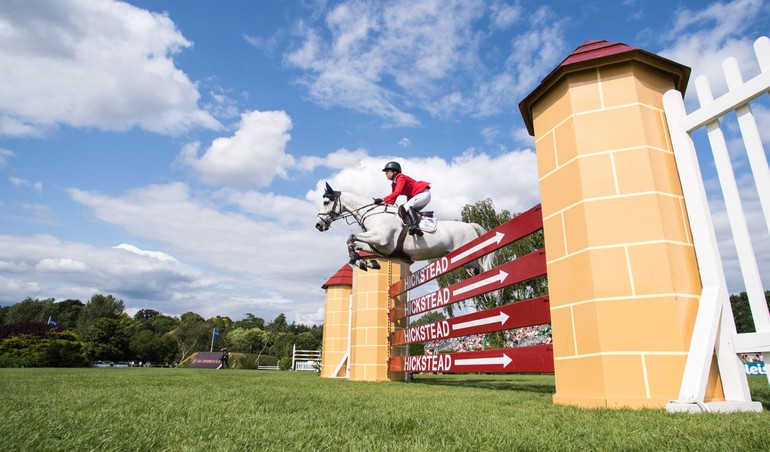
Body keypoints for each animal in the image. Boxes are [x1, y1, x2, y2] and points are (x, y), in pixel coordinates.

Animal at [314, 181, 488, 272]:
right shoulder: (381, 247)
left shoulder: (380, 237)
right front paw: (365, 262)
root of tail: (470, 226)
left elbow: (350, 237)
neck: (373, 213)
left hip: (470, 257)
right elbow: (355, 244)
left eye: (326, 202)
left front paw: (359, 261)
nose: (318, 225)